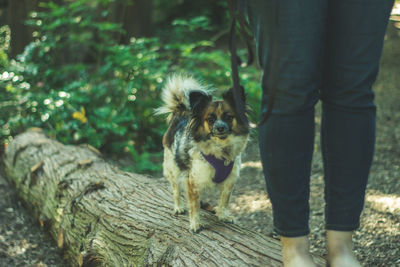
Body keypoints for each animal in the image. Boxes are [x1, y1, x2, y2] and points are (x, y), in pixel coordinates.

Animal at [157, 75, 248, 232]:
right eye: (210, 119)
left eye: (228, 117)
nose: (220, 128)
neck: (221, 149)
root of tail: (180, 112)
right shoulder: (193, 180)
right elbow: (194, 206)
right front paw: (195, 224)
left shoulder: (230, 180)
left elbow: (224, 200)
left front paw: (223, 216)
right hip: (172, 167)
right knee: (176, 190)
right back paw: (178, 207)